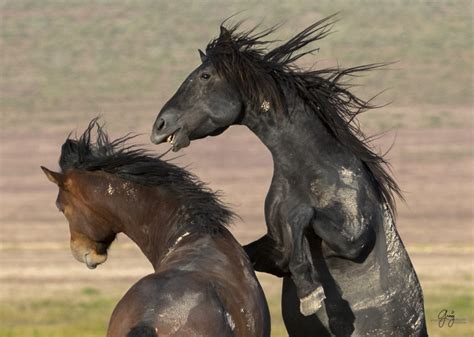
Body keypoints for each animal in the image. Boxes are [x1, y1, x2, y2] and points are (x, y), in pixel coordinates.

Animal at [150, 16, 428, 336]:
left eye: (205, 76)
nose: (159, 126)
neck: (312, 168)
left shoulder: (354, 241)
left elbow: (301, 215)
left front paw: (310, 294)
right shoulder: (275, 251)